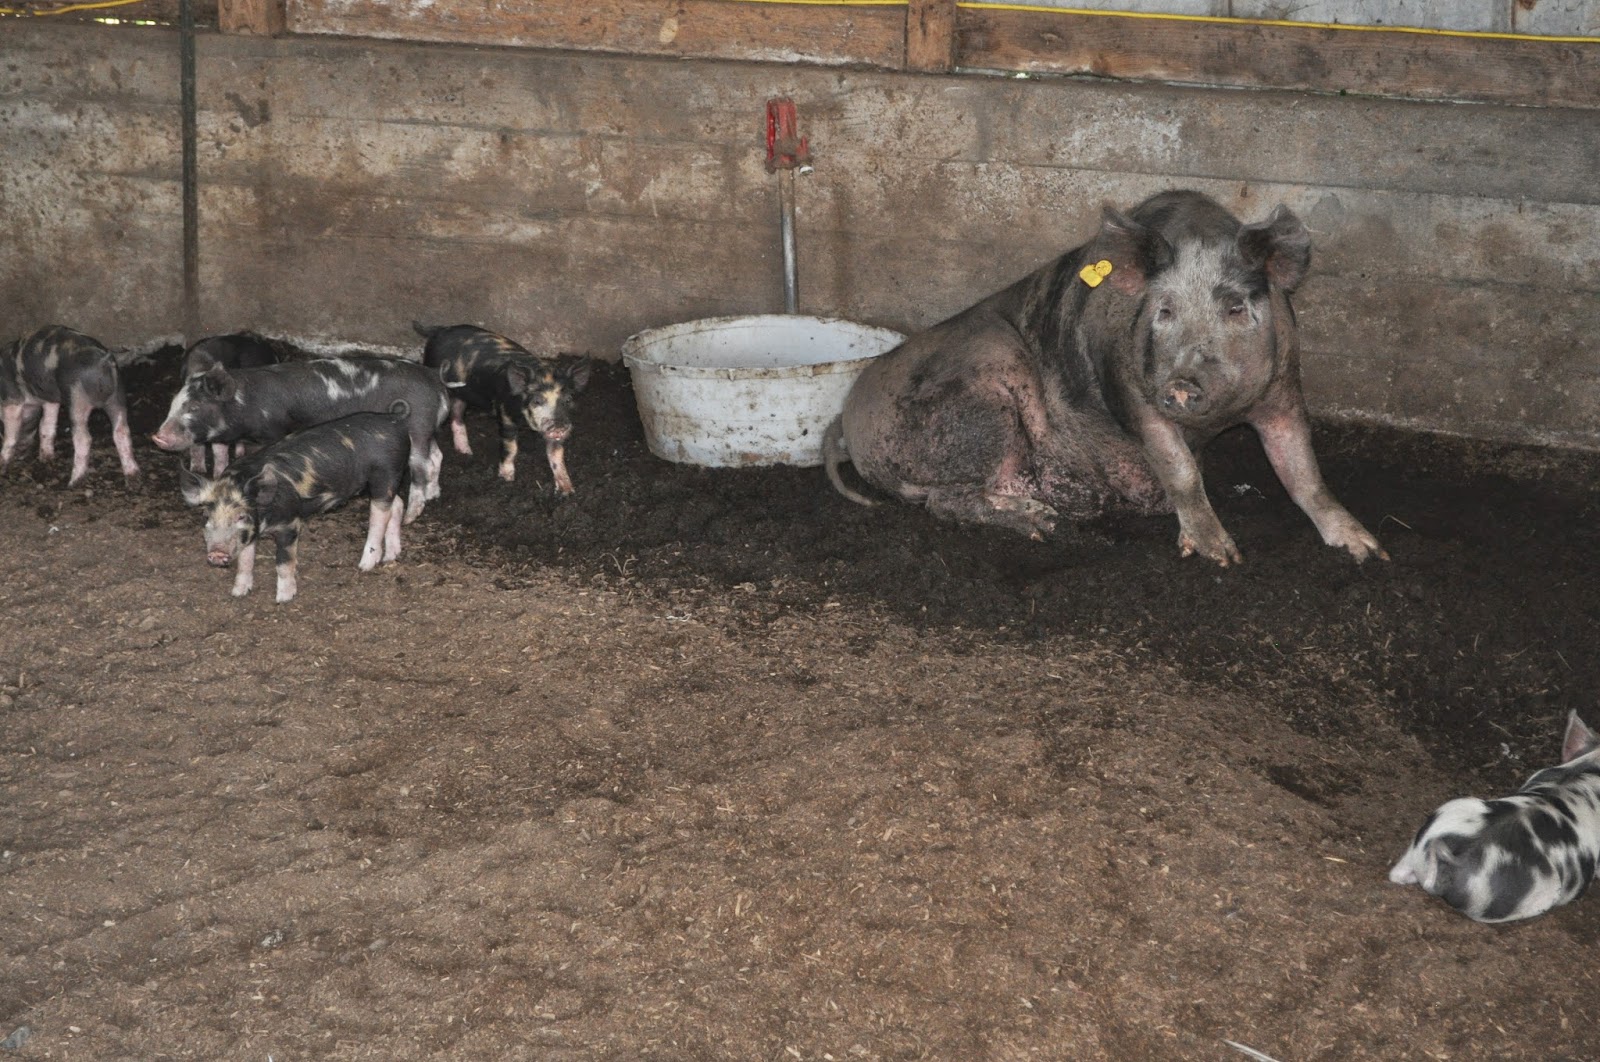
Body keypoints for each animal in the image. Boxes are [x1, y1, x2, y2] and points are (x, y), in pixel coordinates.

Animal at [0, 325, 140, 485]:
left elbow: (11, 433)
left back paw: (73, 482)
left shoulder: (11, 398)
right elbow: (46, 426)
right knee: (122, 431)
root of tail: (102, 361)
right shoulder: (50, 399)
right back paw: (133, 474)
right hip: (117, 396)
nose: (22, 454)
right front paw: (46, 458)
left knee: (84, 438)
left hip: (77, 399)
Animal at [153, 353, 447, 521]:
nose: (157, 437)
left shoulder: (271, 432)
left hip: (417, 424)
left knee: (421, 467)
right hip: (428, 429)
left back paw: (411, 516)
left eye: (194, 407)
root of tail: (436, 383)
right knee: (436, 456)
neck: (246, 402)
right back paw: (434, 495)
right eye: (173, 403)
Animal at [178, 406, 413, 603]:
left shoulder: (290, 523)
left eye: (241, 516)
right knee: (397, 504)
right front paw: (238, 593)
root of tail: (395, 419)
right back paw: (391, 556)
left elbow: (283, 562)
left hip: (386, 473)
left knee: (379, 516)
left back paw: (365, 565)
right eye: (206, 516)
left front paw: (283, 599)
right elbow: (245, 560)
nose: (217, 553)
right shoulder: (250, 533)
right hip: (371, 484)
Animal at [413, 322, 592, 493]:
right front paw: (507, 479)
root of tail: (439, 330)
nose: (559, 426)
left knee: (457, 414)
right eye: (537, 401)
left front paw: (567, 490)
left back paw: (467, 452)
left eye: (568, 399)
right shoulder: (505, 413)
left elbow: (557, 454)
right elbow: (511, 447)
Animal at [824, 190, 1386, 566]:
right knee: (948, 499)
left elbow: (1304, 472)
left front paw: (1367, 550)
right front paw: (1219, 556)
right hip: (986, 389)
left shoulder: (1285, 388)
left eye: (1235, 308)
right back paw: (1040, 521)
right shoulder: (1130, 392)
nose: (1180, 383)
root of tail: (846, 417)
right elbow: (1180, 469)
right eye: (1163, 310)